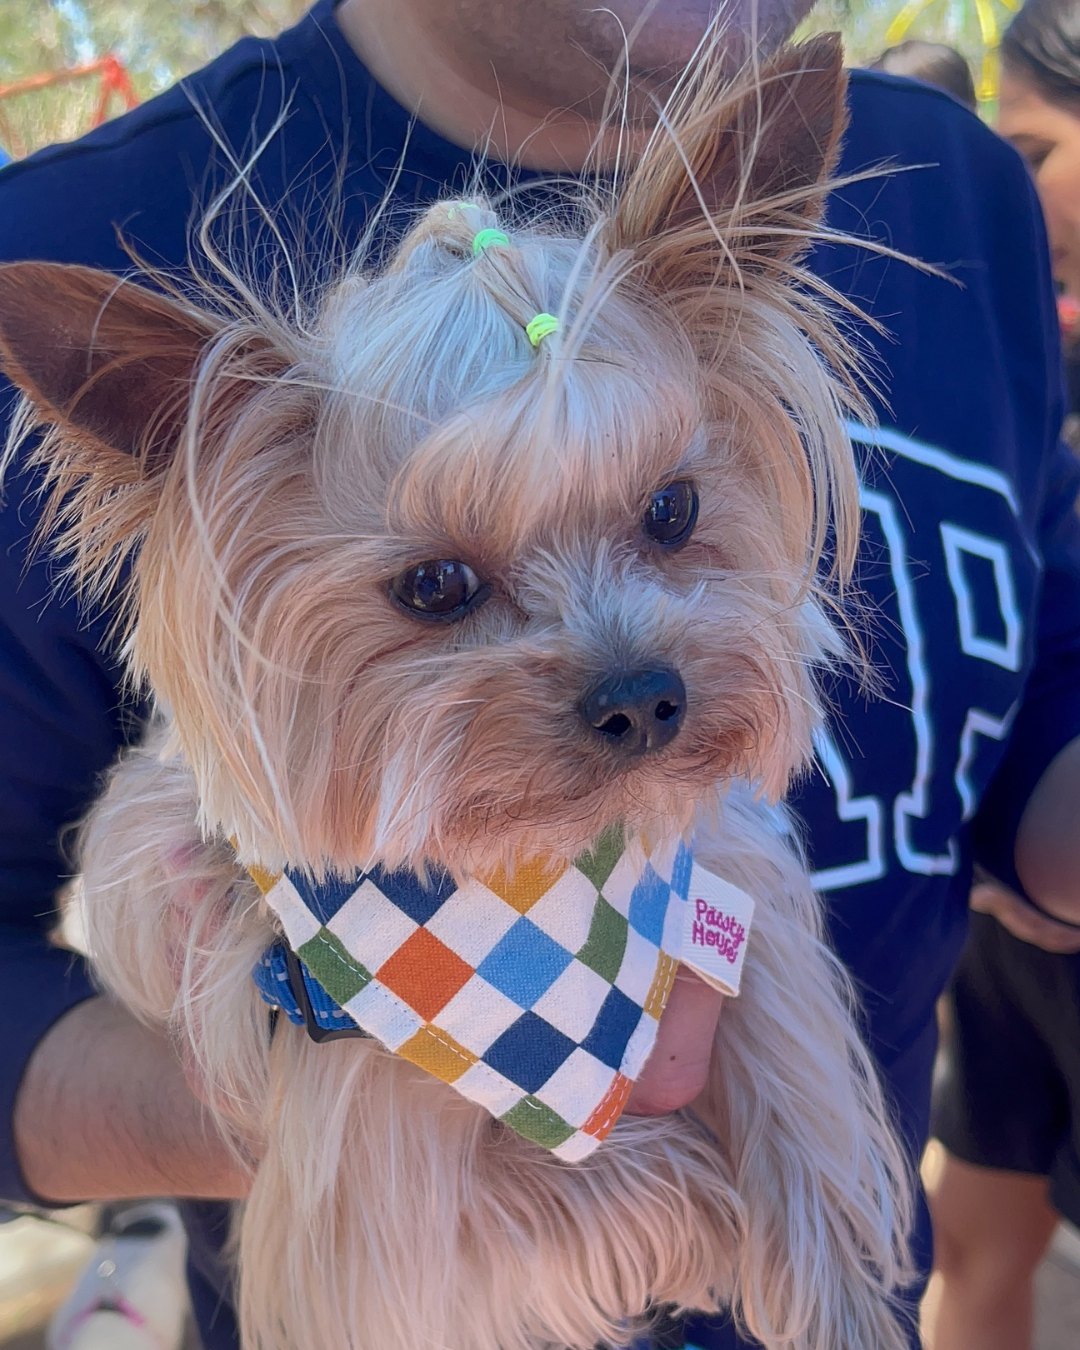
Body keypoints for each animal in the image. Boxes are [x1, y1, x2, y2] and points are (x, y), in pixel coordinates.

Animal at [0, 29, 912, 1350]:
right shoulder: (365, 1199)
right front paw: (695, 1210)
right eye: (434, 584)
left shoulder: (733, 898)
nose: (645, 700)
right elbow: (580, 1205)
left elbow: (796, 1097)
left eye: (673, 508)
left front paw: (827, 1281)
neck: (539, 901)